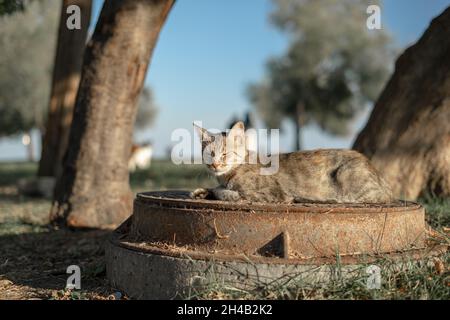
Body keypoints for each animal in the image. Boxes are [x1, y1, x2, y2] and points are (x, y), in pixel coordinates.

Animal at [190, 121, 394, 204]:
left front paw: (220, 191)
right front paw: (202, 191)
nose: (215, 165)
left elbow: (228, 193)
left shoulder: (273, 194)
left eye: (225, 154)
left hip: (347, 174)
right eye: (210, 154)